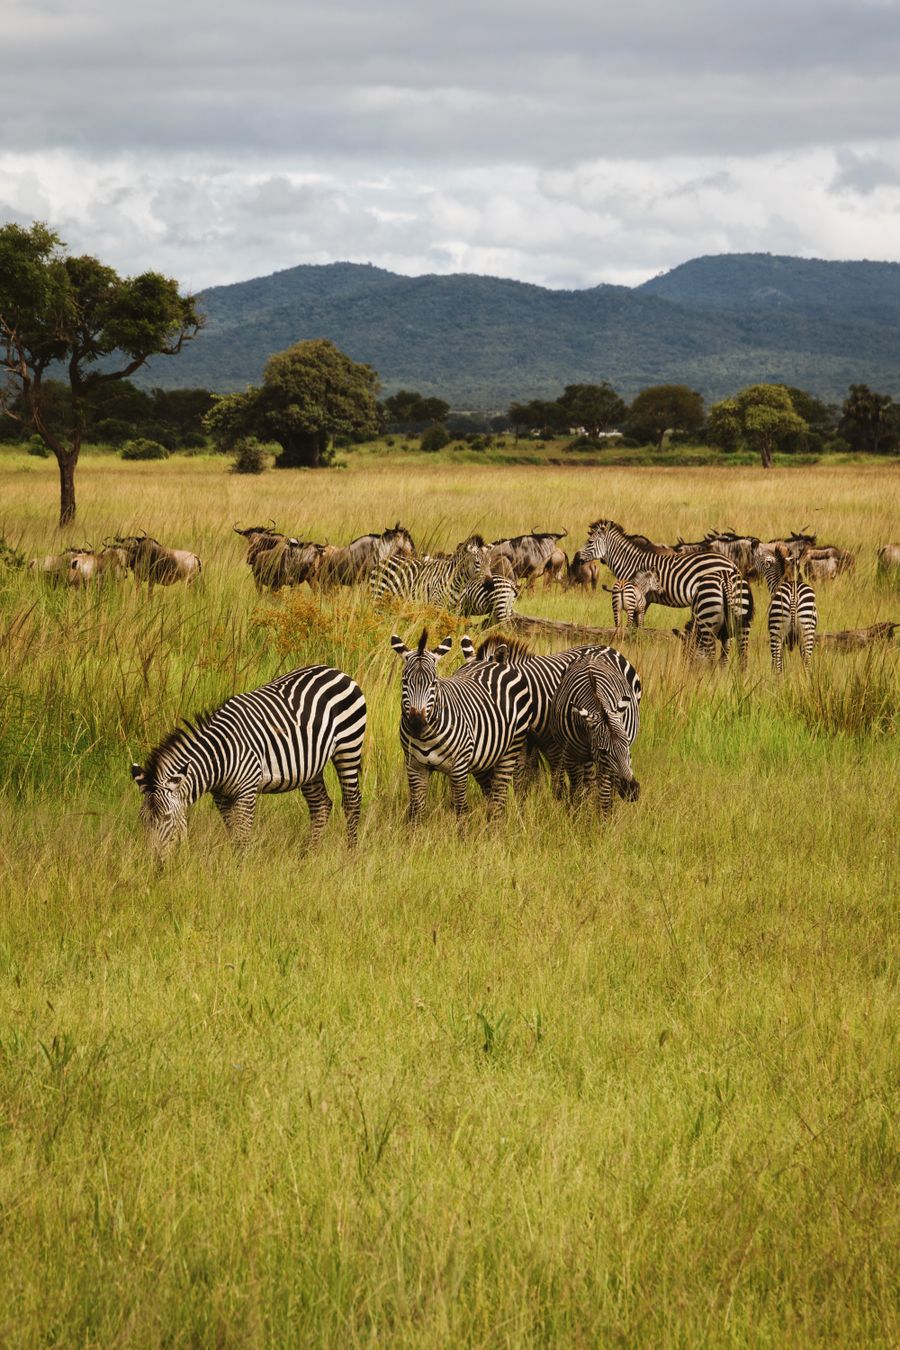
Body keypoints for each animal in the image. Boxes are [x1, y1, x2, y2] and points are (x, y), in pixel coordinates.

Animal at [130, 665, 366, 860]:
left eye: (167, 818)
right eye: (142, 820)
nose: (154, 863)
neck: (219, 756)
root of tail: (334, 669)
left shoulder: (246, 791)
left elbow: (242, 835)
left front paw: (240, 870)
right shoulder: (221, 796)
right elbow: (233, 832)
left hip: (349, 746)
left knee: (352, 802)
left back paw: (350, 854)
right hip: (310, 765)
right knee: (321, 805)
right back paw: (308, 855)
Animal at [390, 630, 531, 820]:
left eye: (434, 683)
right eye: (404, 682)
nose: (417, 723)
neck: (426, 737)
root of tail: (489, 662)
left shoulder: (458, 767)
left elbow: (461, 810)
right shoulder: (414, 766)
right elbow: (417, 810)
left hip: (511, 749)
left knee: (499, 797)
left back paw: (496, 825)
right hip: (484, 757)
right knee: (490, 793)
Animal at [547, 654, 641, 814]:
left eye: (627, 745)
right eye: (603, 751)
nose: (632, 791)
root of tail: (592, 653)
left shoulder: (607, 767)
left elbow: (604, 797)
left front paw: (604, 819)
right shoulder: (571, 755)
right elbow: (577, 793)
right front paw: (577, 817)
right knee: (587, 785)